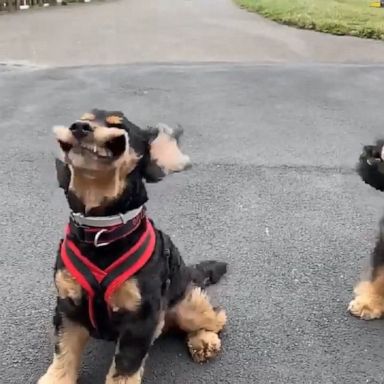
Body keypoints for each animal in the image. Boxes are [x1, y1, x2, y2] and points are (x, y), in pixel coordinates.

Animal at [37, 108, 226, 384]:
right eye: (83, 118)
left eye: (119, 127)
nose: (78, 127)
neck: (101, 232)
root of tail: (189, 272)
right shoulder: (68, 306)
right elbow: (64, 352)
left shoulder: (140, 318)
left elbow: (125, 366)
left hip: (186, 305)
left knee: (216, 315)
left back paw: (204, 340)